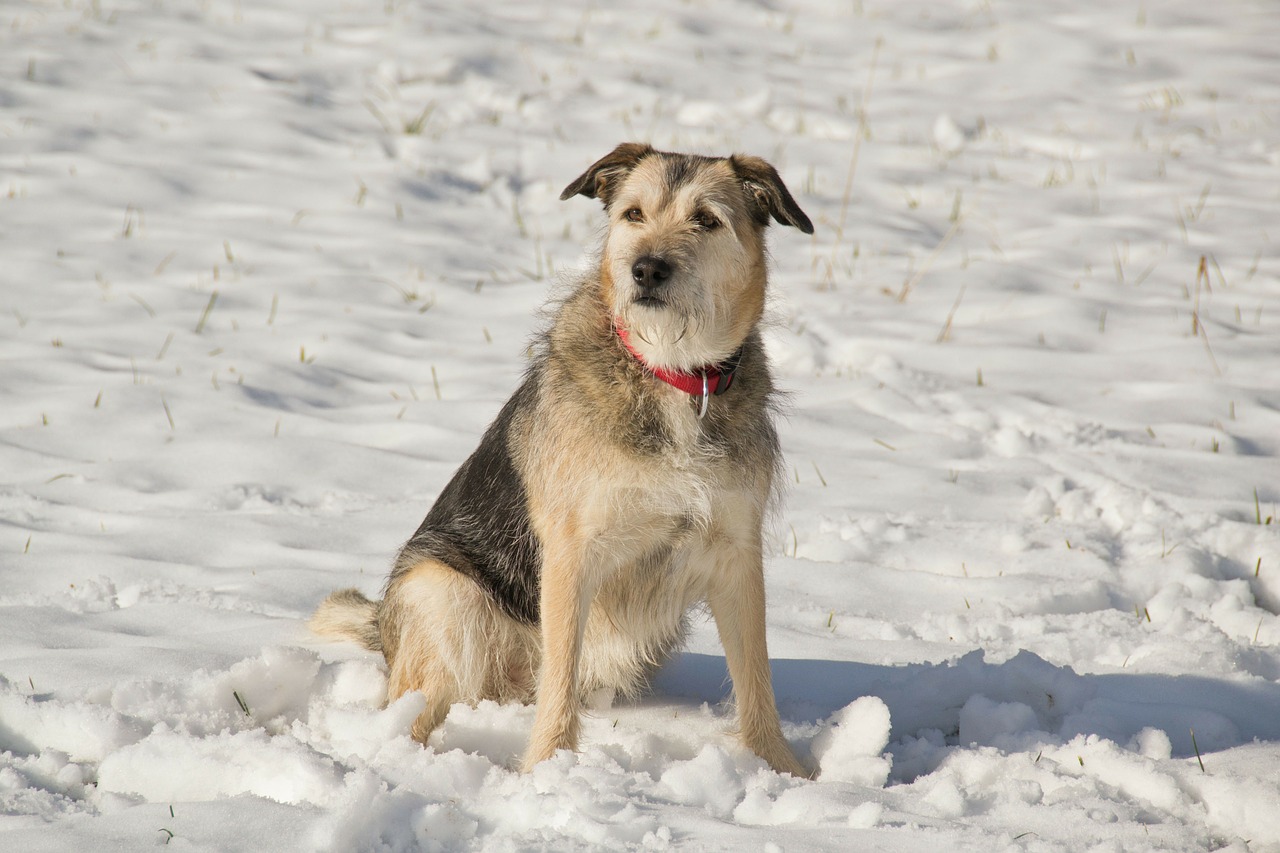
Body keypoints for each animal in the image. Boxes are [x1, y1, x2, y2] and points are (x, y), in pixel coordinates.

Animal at [309, 140, 808, 768]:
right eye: (634, 214)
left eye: (706, 219)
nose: (647, 268)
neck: (672, 376)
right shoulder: (573, 553)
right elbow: (561, 678)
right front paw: (548, 769)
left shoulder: (737, 553)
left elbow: (756, 678)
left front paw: (782, 769)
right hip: (441, 593)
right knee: (424, 701)